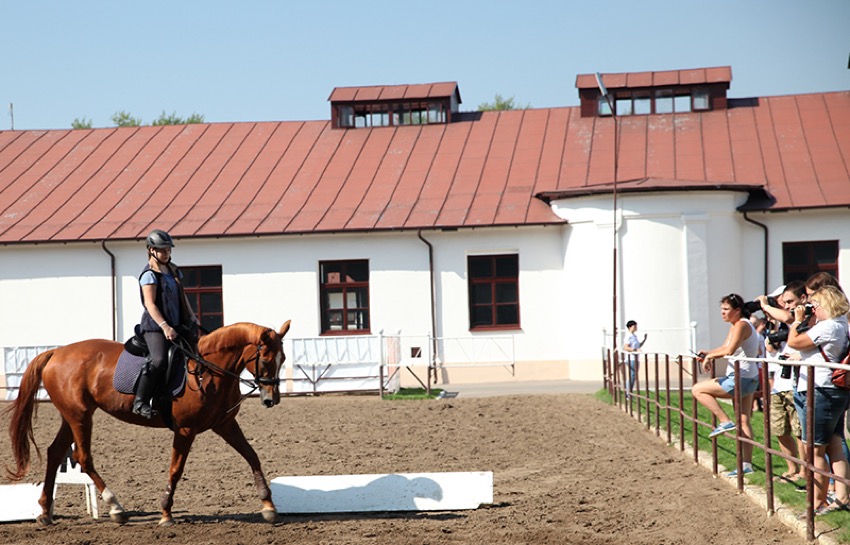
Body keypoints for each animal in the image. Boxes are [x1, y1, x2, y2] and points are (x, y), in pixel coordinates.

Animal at [4, 320, 292, 524]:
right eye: (267, 359)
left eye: (283, 359)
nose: (272, 399)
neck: (208, 371)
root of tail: (56, 352)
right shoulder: (185, 430)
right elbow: (176, 470)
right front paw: (165, 513)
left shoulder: (225, 425)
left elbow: (252, 456)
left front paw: (268, 505)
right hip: (80, 417)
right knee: (83, 458)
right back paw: (115, 508)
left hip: (72, 416)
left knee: (55, 453)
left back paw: (45, 512)